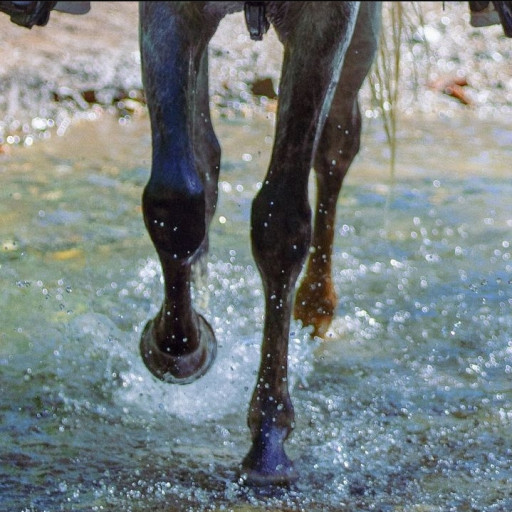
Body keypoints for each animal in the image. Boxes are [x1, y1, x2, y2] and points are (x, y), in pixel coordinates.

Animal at [138, 2, 382, 486]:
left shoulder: (326, 23)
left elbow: (282, 223)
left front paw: (268, 441)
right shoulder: (167, 15)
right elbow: (176, 197)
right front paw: (179, 348)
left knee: (338, 139)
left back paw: (317, 304)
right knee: (205, 153)